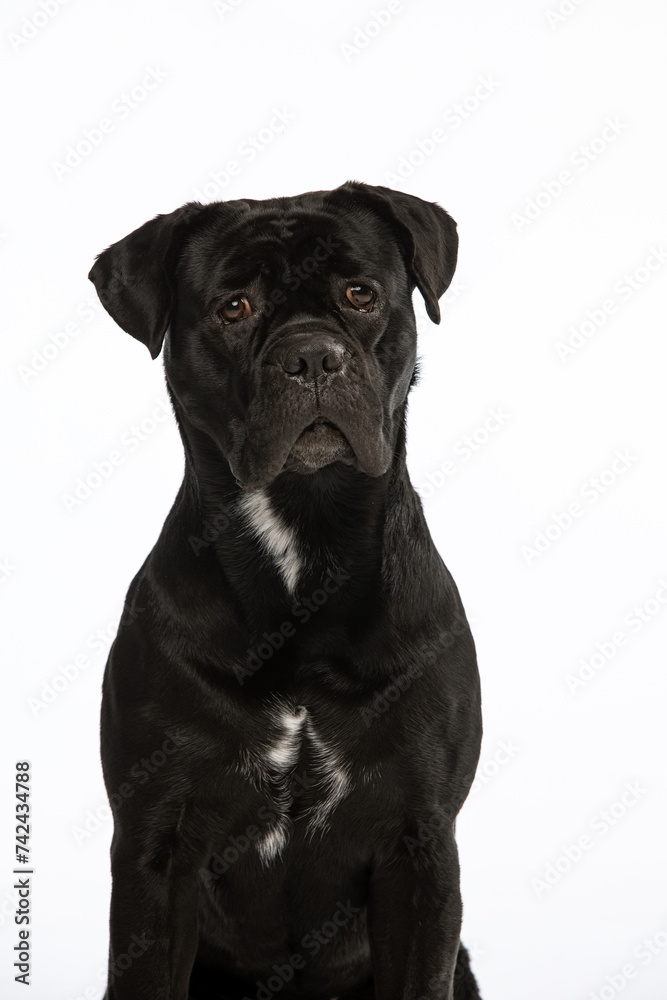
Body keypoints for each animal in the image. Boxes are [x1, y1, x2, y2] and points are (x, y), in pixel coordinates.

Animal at [88, 182, 486, 1000]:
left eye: (360, 293)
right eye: (232, 307)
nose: (311, 354)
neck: (306, 540)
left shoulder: (422, 845)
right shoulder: (155, 846)